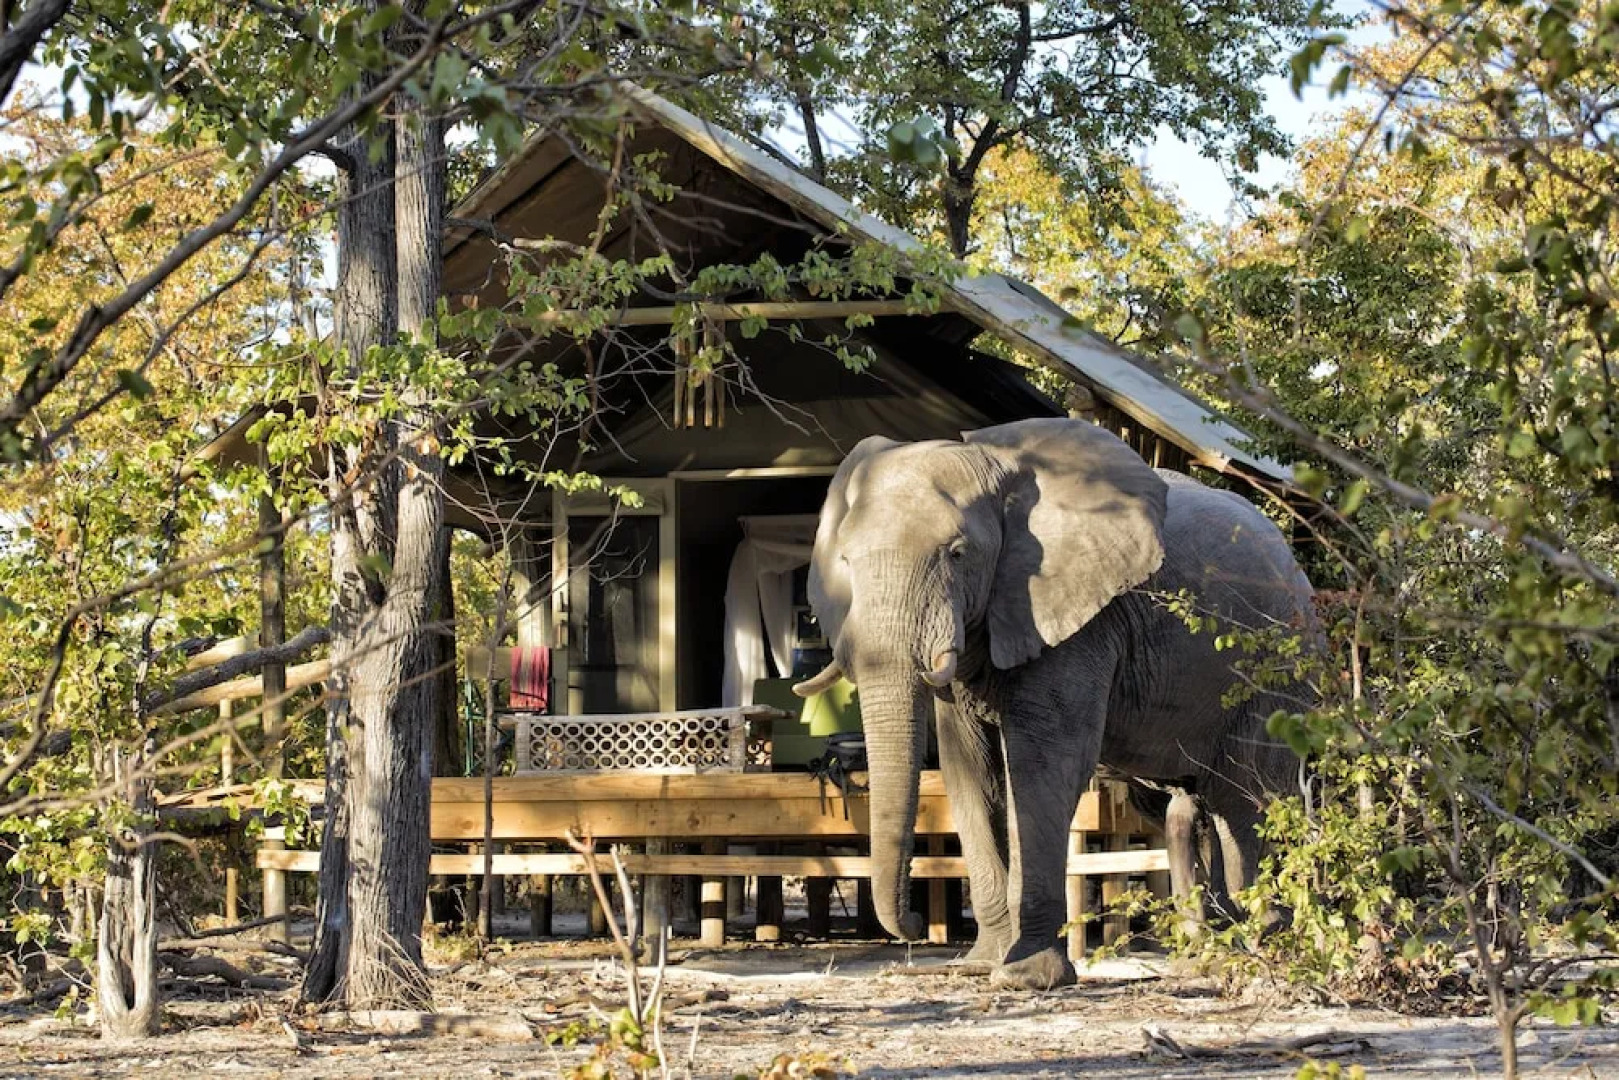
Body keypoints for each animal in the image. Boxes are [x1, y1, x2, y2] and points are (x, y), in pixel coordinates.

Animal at [792, 418, 1317, 990]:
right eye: (845, 562)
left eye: (958, 553)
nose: (910, 925)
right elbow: (968, 767)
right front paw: (983, 964)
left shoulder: (1080, 620)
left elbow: (1043, 761)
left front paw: (1025, 976)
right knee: (1202, 802)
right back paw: (1217, 955)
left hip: (1278, 670)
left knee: (1248, 797)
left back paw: (1269, 949)